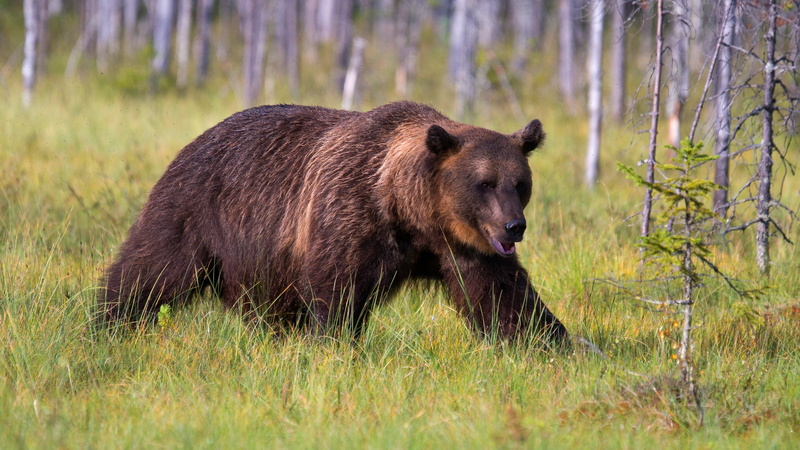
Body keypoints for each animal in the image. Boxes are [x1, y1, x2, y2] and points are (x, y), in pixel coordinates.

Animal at [99, 101, 568, 345]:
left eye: (520, 183)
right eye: (484, 183)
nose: (514, 227)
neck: (408, 210)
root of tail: (195, 139)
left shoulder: (463, 245)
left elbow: (504, 298)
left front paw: (554, 342)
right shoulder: (348, 212)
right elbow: (337, 290)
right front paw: (334, 344)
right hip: (196, 210)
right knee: (151, 268)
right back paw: (107, 322)